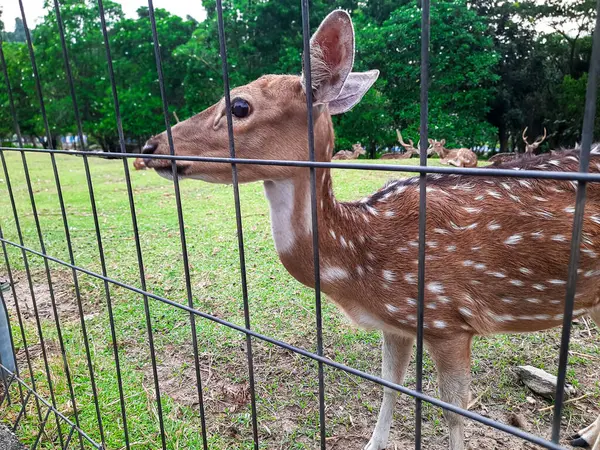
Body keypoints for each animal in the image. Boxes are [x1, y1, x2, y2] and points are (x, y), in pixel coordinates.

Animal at [142, 9, 600, 450]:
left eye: (239, 106)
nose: (149, 146)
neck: (361, 260)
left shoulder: (447, 318)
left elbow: (455, 411)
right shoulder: (396, 323)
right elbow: (389, 386)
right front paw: (372, 443)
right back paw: (581, 435)